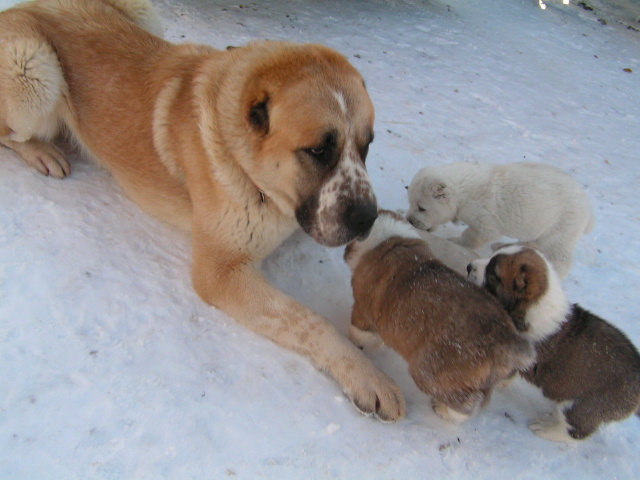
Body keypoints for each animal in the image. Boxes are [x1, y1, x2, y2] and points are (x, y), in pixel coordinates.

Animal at [0, 0, 404, 420]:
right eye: (319, 150)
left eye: (366, 146)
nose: (366, 218)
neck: (251, 169)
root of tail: (20, 9)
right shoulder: (221, 272)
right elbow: (310, 321)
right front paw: (367, 375)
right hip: (34, 70)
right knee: (7, 133)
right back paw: (42, 152)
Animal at [344, 212, 536, 422]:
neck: (388, 239)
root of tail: (506, 339)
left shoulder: (363, 311)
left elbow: (359, 333)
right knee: (484, 398)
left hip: (428, 374)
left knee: (467, 405)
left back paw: (443, 410)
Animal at [410, 163, 596, 280]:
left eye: (422, 208)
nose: (410, 221)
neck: (463, 189)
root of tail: (588, 209)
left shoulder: (484, 222)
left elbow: (472, 236)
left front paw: (456, 241)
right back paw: (502, 246)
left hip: (561, 230)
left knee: (561, 259)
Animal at [468, 248, 640, 442]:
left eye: (492, 274)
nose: (469, 266)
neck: (529, 307)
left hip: (579, 409)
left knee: (575, 433)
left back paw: (546, 428)